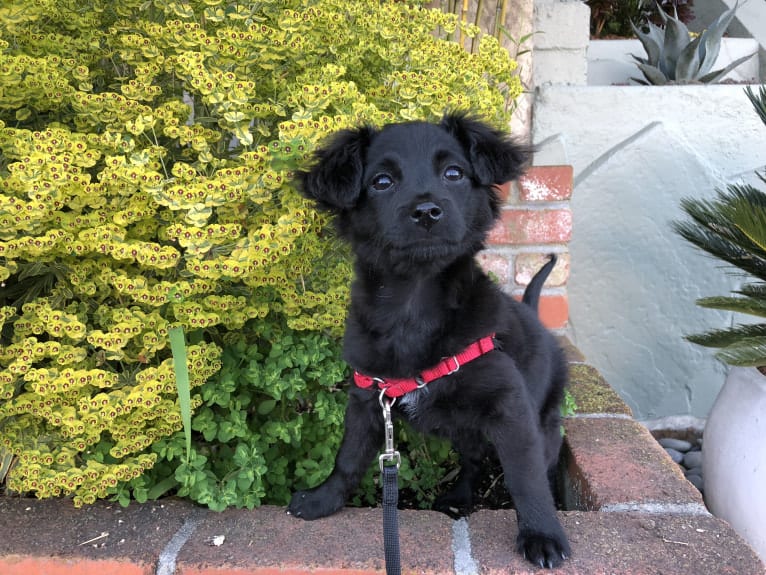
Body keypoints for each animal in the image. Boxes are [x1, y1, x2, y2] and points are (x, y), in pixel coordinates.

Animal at [288, 113, 568, 572]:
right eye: (382, 181)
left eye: (453, 174)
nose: (427, 212)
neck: (413, 307)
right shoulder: (368, 397)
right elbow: (348, 457)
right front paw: (323, 499)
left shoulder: (511, 409)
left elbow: (525, 476)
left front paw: (542, 535)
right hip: (465, 429)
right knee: (473, 459)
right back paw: (459, 498)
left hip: (542, 419)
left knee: (541, 462)